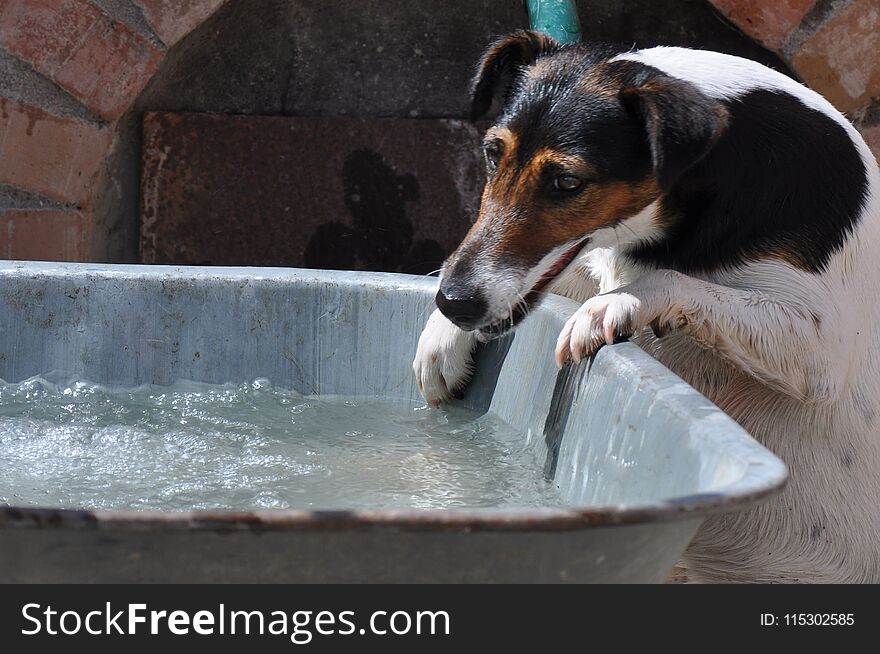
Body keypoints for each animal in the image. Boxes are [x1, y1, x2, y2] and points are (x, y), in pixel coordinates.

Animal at [412, 32, 880, 584]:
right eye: (491, 154)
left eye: (567, 183)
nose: (455, 303)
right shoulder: (585, 260)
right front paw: (440, 337)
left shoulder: (821, 348)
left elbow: (664, 280)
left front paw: (609, 308)